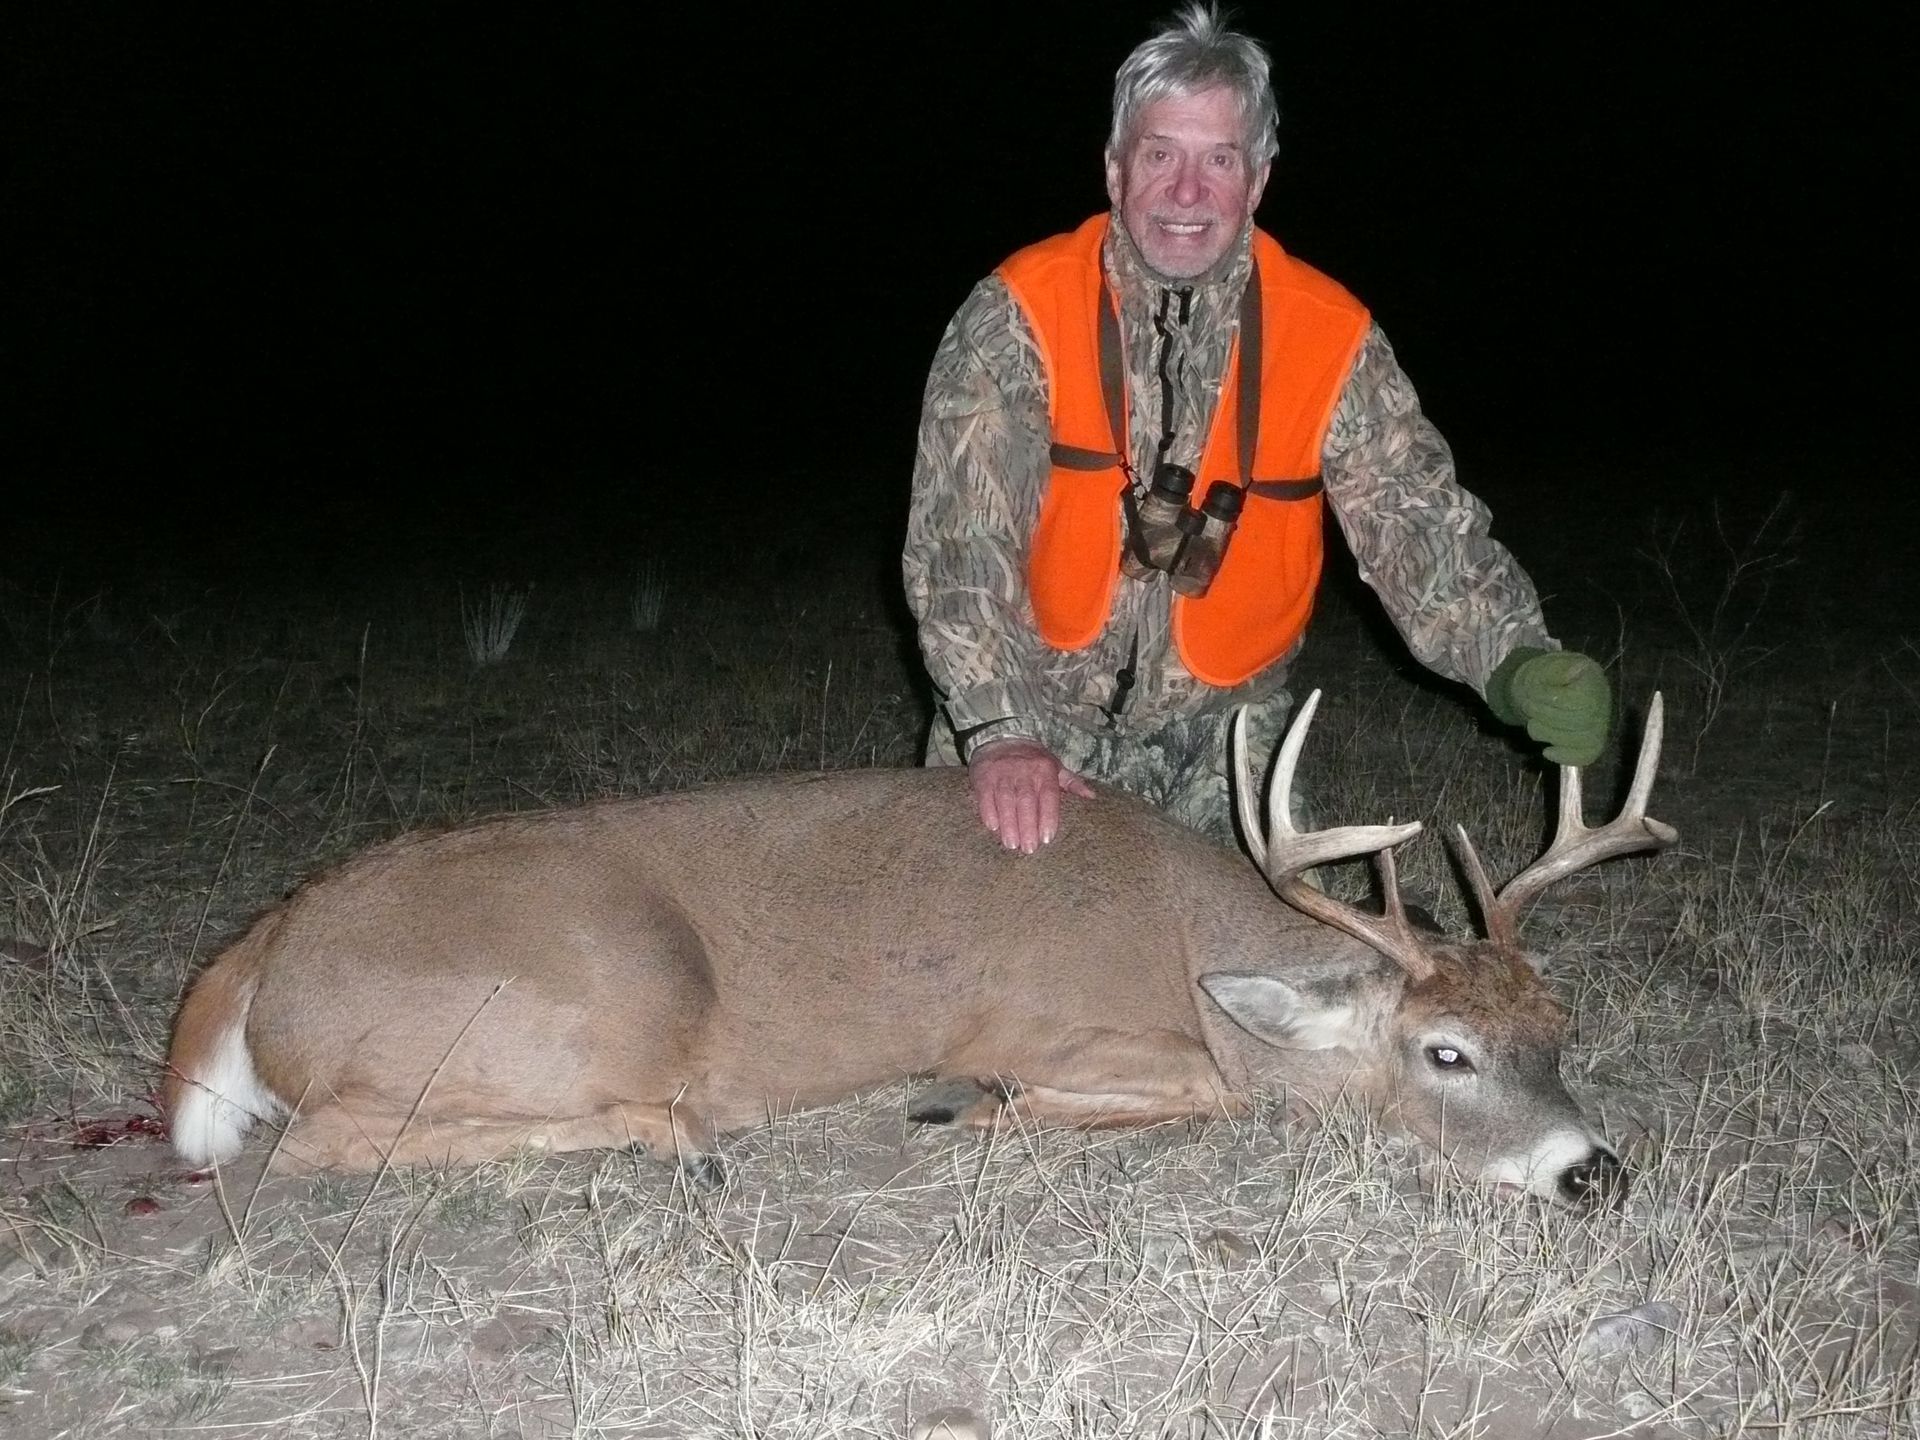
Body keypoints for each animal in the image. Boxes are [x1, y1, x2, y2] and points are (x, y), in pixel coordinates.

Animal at [164, 690, 1676, 1210]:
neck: (1185, 939)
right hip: (620, 991)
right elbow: (1203, 1089)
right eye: (1446, 1051)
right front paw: (963, 1103)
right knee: (314, 1146)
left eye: (1559, 1030)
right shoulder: (1045, 1022)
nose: (1593, 1171)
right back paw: (691, 1142)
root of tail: (262, 955)